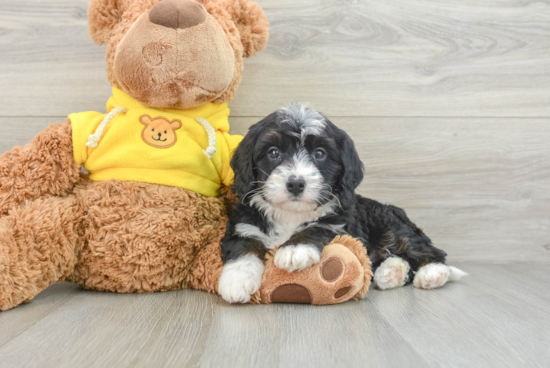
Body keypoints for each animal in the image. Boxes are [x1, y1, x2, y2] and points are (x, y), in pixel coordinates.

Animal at [218, 103, 468, 302]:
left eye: (320, 153)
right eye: (273, 152)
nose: (296, 183)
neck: (291, 214)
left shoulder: (341, 225)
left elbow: (317, 227)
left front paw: (294, 249)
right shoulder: (244, 225)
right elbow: (244, 247)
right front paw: (236, 281)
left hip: (392, 225)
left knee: (426, 250)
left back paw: (432, 273)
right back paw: (391, 273)